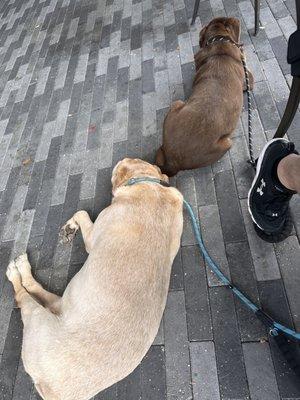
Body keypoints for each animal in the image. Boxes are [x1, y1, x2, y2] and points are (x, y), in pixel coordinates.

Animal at [6, 159, 183, 400]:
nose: (122, 159)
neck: (150, 185)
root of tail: (54, 391)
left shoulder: (93, 236)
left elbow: (81, 212)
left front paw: (74, 223)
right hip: (60, 306)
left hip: (38, 321)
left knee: (24, 295)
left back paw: (18, 270)